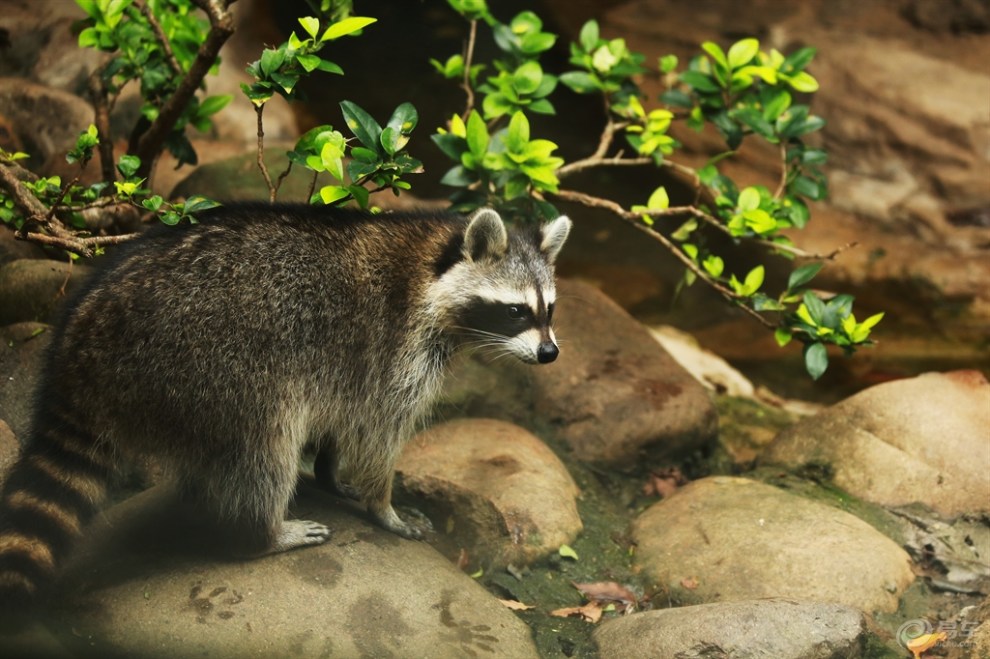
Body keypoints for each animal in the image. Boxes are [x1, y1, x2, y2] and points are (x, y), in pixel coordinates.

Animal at [0, 205, 572, 612]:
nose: (550, 353)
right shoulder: (395, 347)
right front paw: (382, 504)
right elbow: (377, 432)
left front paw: (332, 473)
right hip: (212, 363)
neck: (434, 261)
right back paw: (264, 533)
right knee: (264, 447)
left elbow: (345, 418)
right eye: (516, 311)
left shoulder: (353, 363)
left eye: (549, 310)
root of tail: (84, 336)